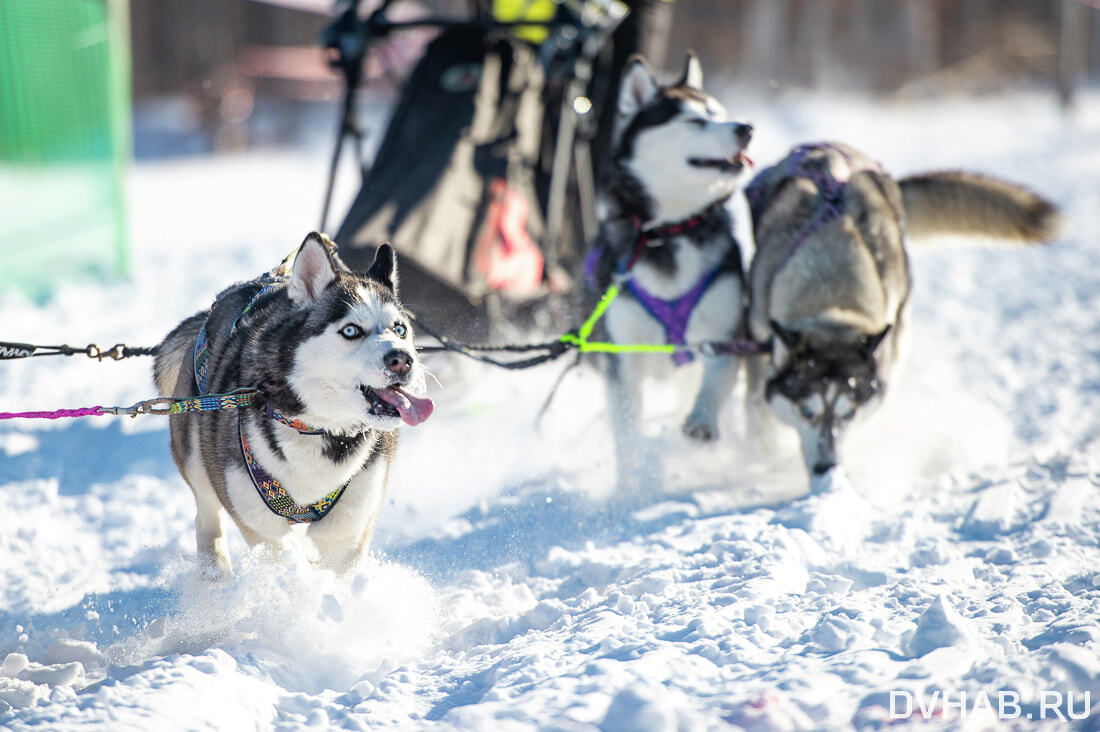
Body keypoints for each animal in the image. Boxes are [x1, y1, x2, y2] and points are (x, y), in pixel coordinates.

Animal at [155, 231, 433, 572]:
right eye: (351, 330)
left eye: (400, 329)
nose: (403, 360)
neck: (318, 429)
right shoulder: (258, 520)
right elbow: (283, 557)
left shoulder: (350, 523)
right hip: (197, 454)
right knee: (207, 513)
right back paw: (214, 576)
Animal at [594, 51, 756, 484]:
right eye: (693, 121)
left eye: (719, 112)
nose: (746, 127)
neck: (667, 232)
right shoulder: (620, 353)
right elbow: (625, 427)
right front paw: (628, 487)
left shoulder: (725, 333)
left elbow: (714, 382)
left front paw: (701, 420)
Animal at [743, 143, 1060, 479]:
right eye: (806, 410)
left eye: (849, 412)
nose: (827, 468)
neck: (831, 292)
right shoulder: (758, 337)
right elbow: (758, 406)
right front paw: (761, 453)